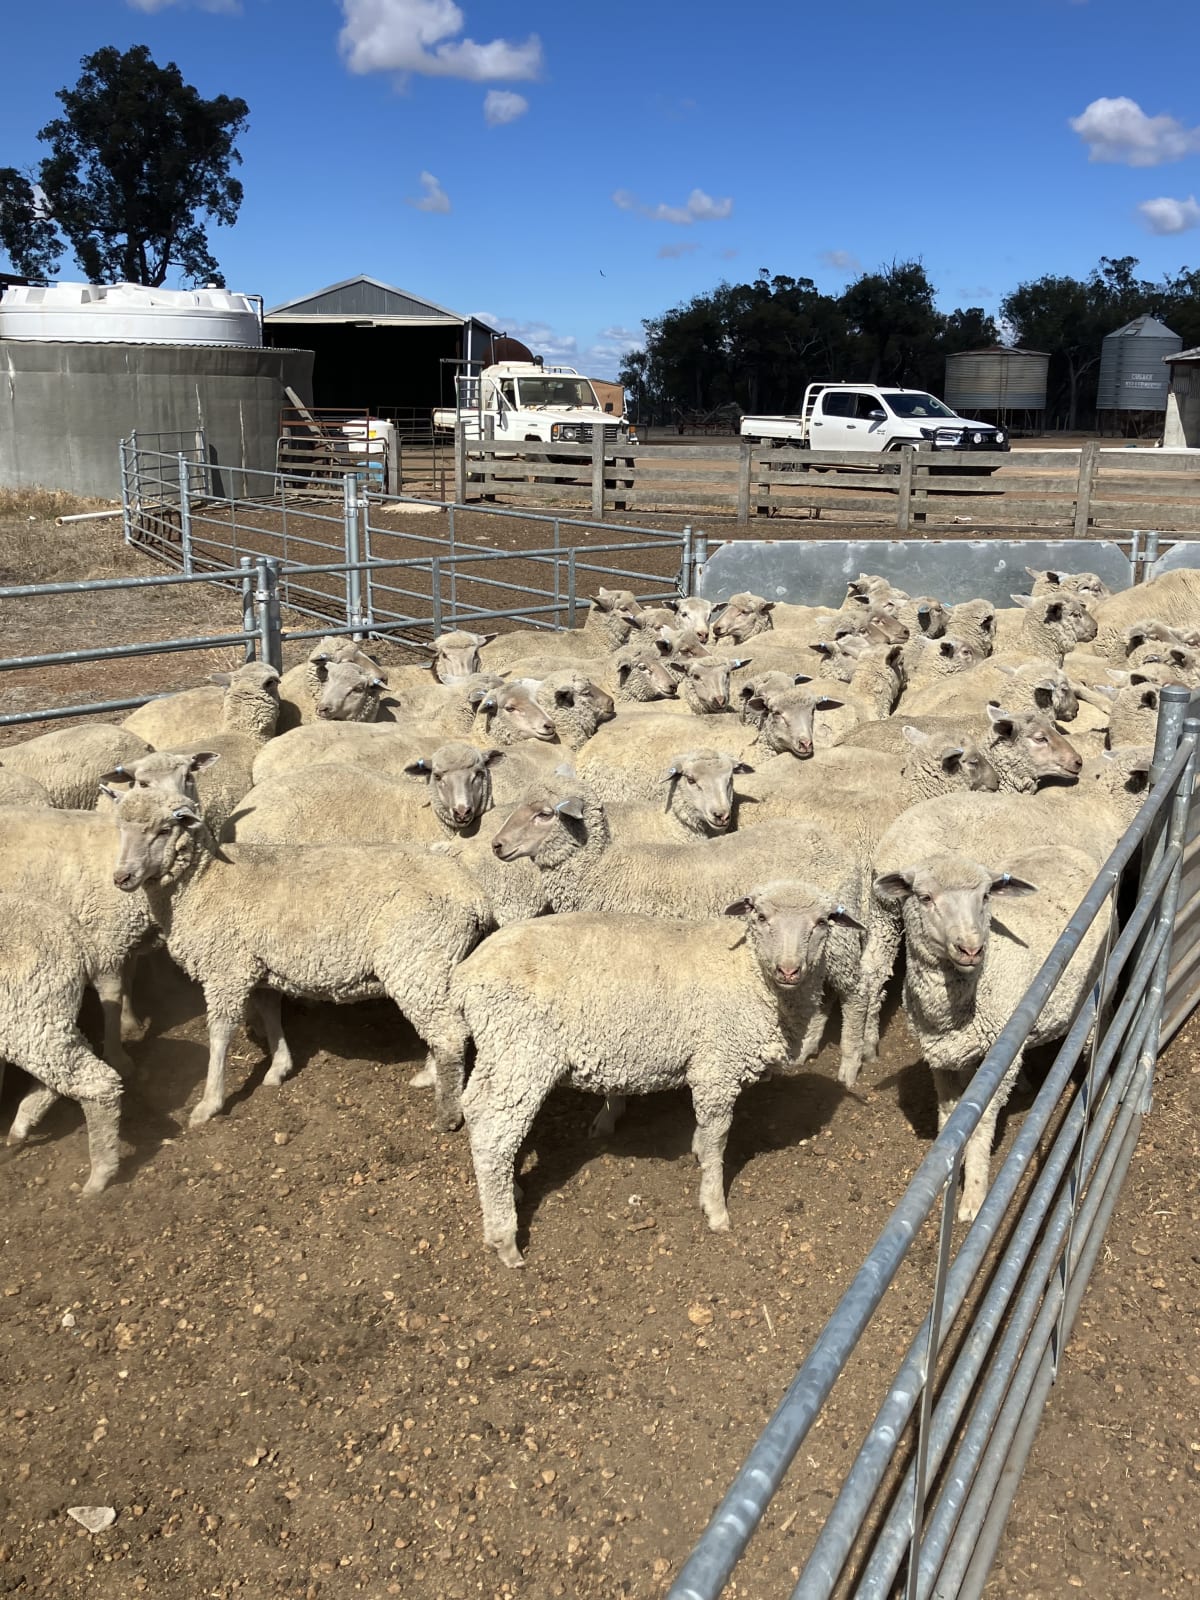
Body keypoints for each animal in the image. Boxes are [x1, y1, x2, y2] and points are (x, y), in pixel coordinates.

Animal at [0, 894, 124, 1194]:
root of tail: (77, 937)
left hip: (28, 1018)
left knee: (98, 1083)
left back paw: (100, 1176)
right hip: (47, 1018)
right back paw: (19, 1128)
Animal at [109, 789, 490, 1132]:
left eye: (164, 830)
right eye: (120, 828)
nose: (121, 877)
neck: (203, 882)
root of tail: (473, 895)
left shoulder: (226, 969)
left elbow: (219, 1034)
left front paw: (209, 1103)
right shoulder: (258, 965)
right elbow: (269, 1012)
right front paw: (279, 1066)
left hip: (418, 959)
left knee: (450, 1035)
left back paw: (446, 1115)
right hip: (435, 967)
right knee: (446, 1029)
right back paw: (430, 1075)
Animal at [456, 883, 866, 1265]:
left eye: (823, 921)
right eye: (761, 916)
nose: (789, 969)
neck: (748, 969)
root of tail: (467, 975)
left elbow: (707, 1135)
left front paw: (698, 1152)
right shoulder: (717, 1065)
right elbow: (719, 1139)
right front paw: (715, 1208)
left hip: (503, 1052)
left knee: (477, 1111)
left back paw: (510, 1189)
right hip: (523, 1053)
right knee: (494, 1131)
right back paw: (504, 1238)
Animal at [875, 846, 1105, 1219]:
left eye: (985, 896)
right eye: (924, 897)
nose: (971, 949)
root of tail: (1069, 851)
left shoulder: (995, 1067)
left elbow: (981, 1127)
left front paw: (973, 1196)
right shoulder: (942, 1059)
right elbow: (948, 1119)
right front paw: (945, 1172)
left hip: (1091, 990)